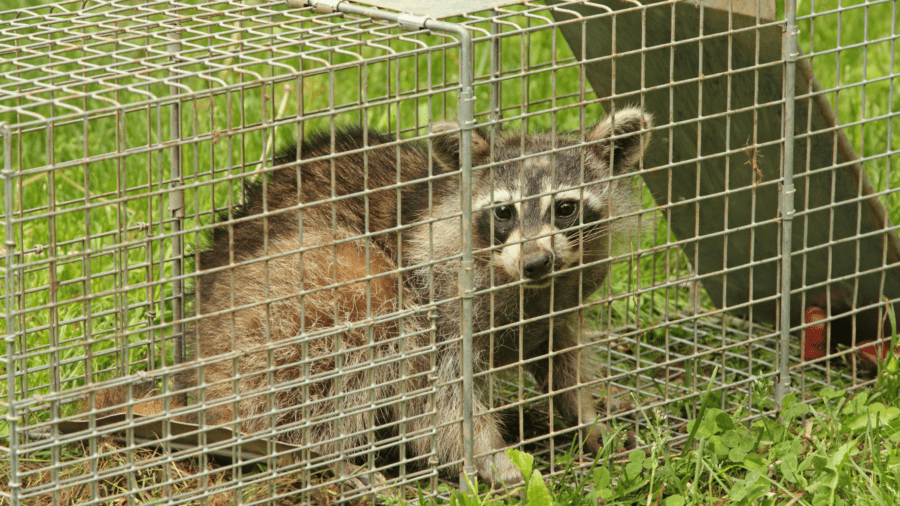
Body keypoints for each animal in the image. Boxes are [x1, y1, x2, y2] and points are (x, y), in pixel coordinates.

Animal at [88, 108, 651, 488]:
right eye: (504, 212)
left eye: (565, 208)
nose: (536, 261)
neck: (524, 287)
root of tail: (197, 378)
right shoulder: (440, 302)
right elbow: (439, 404)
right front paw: (494, 460)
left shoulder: (563, 297)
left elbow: (563, 360)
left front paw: (588, 420)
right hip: (280, 302)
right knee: (356, 322)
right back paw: (320, 454)